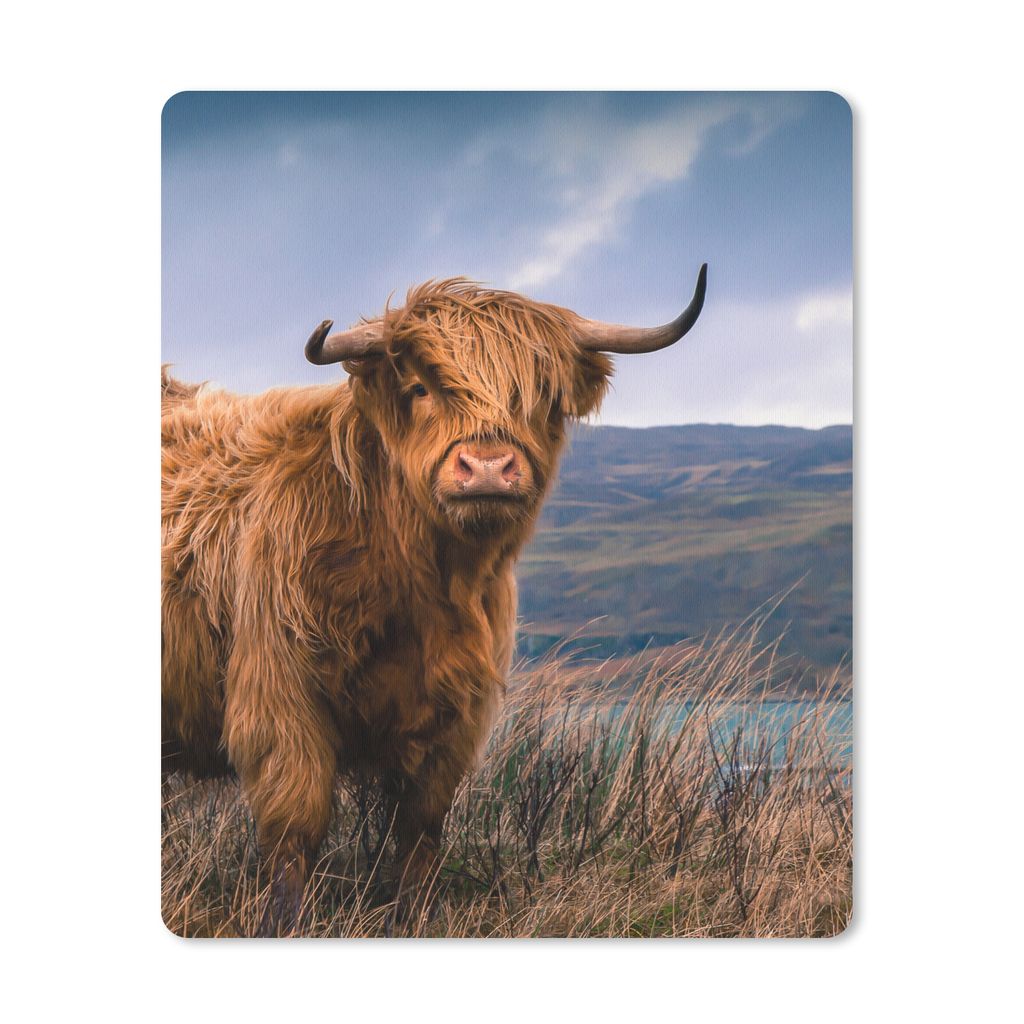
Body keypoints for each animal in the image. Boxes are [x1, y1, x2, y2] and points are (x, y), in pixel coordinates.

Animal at [161, 265, 707, 934]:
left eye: (542, 397)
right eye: (421, 388)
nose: (489, 468)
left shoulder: (455, 712)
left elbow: (420, 826)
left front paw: (413, 917)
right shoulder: (279, 691)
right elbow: (295, 822)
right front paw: (284, 923)